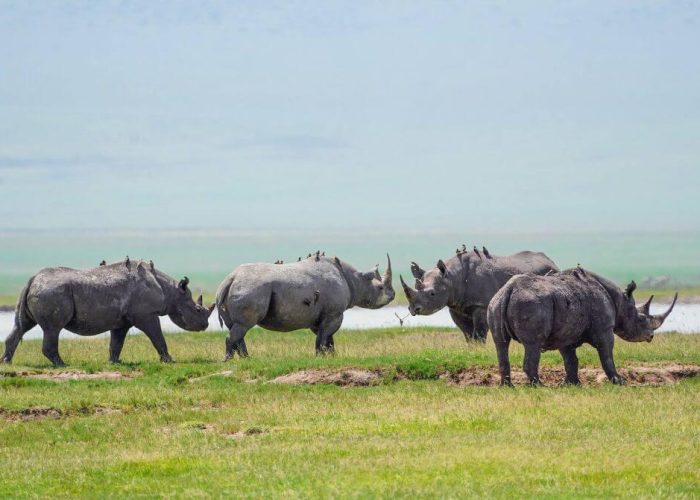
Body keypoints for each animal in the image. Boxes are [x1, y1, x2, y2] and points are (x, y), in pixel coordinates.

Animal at [1, 260, 215, 366]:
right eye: (197, 309)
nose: (205, 326)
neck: (171, 292)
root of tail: (33, 279)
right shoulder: (146, 314)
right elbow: (157, 337)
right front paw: (169, 361)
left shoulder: (123, 320)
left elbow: (117, 342)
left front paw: (115, 362)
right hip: (52, 292)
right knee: (53, 329)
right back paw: (62, 365)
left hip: (40, 291)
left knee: (22, 326)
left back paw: (6, 363)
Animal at [216, 254, 394, 356]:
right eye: (380, 288)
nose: (393, 295)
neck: (355, 280)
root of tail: (230, 279)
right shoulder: (334, 313)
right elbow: (323, 338)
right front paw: (321, 357)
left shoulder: (319, 316)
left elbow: (327, 338)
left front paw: (331, 356)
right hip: (251, 289)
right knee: (243, 326)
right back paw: (231, 361)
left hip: (235, 289)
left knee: (237, 328)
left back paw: (246, 359)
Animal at [400, 248, 556, 342]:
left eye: (432, 293)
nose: (414, 309)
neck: (452, 277)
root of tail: (551, 261)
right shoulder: (456, 306)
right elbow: (467, 333)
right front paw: (472, 349)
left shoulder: (481, 305)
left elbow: (479, 332)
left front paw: (479, 348)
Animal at [486, 270, 680, 386]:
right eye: (641, 319)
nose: (651, 336)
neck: (621, 302)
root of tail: (509, 290)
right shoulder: (604, 330)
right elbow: (606, 355)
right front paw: (619, 382)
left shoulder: (566, 331)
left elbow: (570, 359)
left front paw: (572, 384)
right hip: (531, 304)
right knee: (533, 344)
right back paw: (539, 386)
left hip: (496, 302)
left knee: (501, 343)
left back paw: (508, 387)